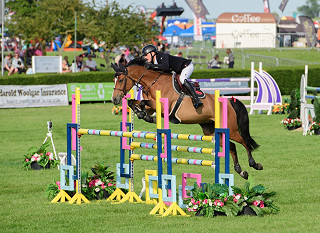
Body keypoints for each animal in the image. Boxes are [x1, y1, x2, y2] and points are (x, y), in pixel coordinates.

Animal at [110, 57, 262, 179]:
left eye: (121, 80)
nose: (115, 99)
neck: (153, 82)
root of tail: (229, 101)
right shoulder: (153, 107)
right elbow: (134, 102)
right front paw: (143, 115)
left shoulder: (163, 106)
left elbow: (142, 102)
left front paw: (145, 115)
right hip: (212, 131)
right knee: (232, 146)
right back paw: (241, 171)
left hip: (232, 129)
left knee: (244, 142)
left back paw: (254, 164)